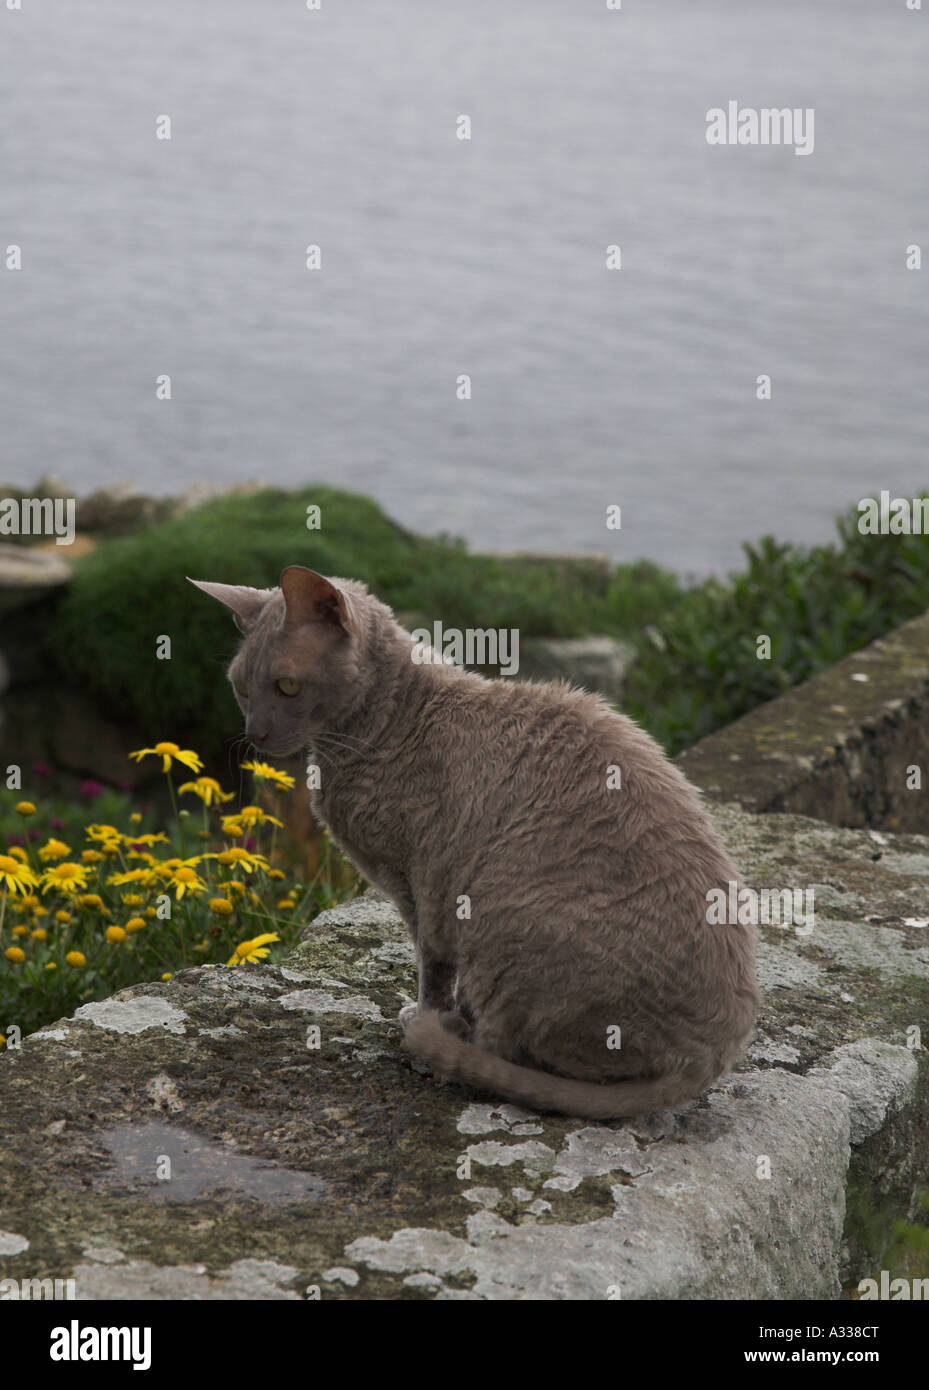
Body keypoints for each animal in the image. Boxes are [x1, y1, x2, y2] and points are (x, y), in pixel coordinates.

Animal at [190, 564, 762, 1117]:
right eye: (241, 688)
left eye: (287, 686)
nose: (254, 733)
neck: (379, 726)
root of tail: (710, 1058)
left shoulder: (427, 884)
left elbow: (432, 965)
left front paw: (428, 1014)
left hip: (506, 912)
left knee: (513, 1054)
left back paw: (446, 1045)